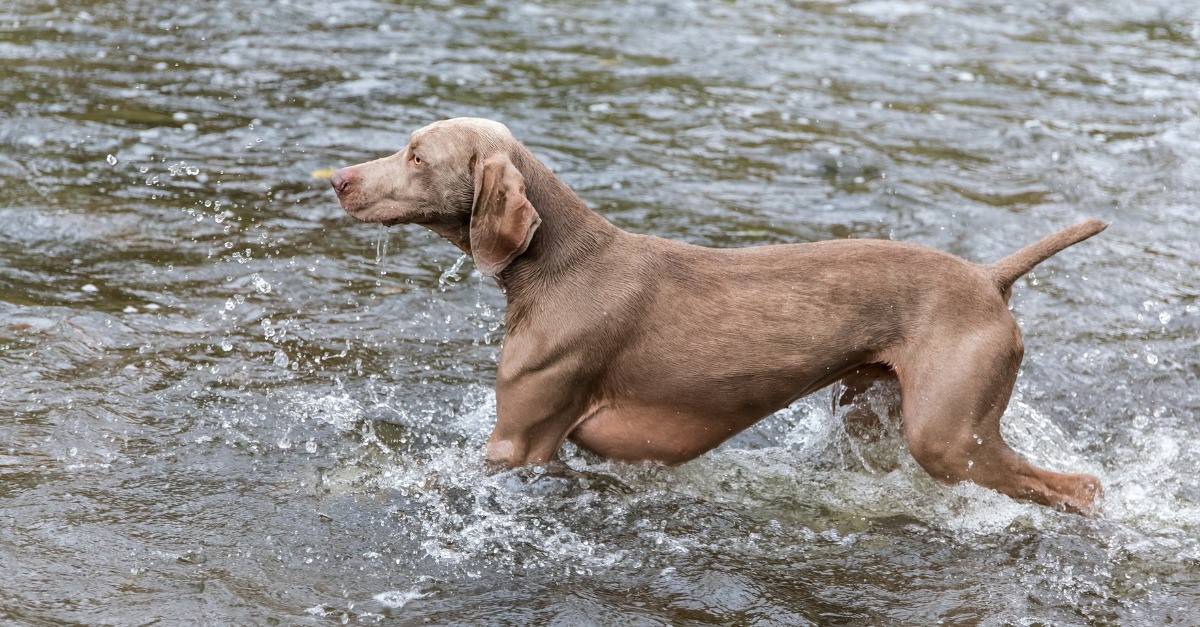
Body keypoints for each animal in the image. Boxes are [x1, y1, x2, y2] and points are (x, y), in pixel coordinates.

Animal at [328, 117, 1104, 511]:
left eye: (417, 156)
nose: (337, 179)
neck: (560, 265)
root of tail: (987, 277)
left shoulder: (519, 443)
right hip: (872, 407)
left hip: (947, 434)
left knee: (1077, 487)